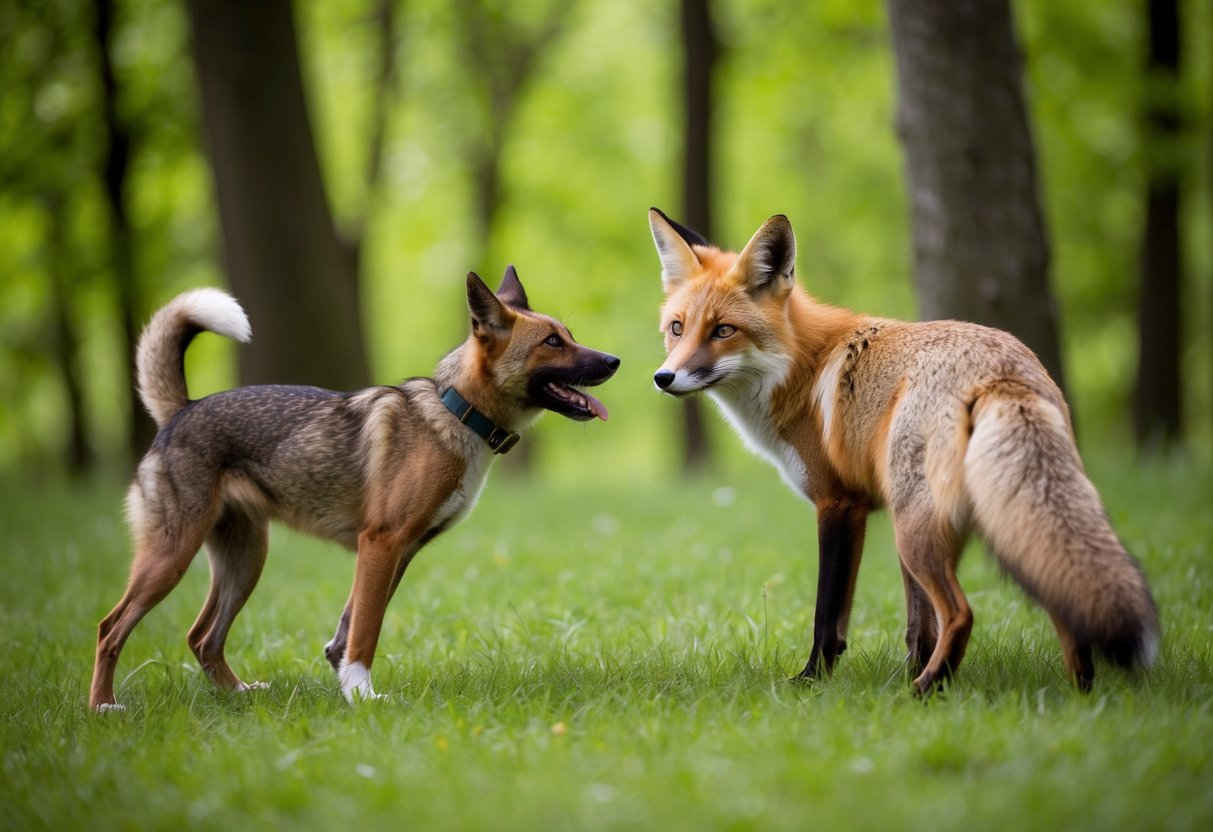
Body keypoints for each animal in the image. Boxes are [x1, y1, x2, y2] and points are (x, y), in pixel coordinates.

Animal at [90, 267, 619, 710]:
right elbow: (365, 631)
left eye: (569, 335)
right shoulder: (381, 544)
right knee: (110, 628)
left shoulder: (400, 552)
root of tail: (181, 410)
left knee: (202, 638)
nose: (614, 360)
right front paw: (363, 697)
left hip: (244, 560)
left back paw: (239, 695)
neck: (455, 414)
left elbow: (347, 633)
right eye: (552, 341)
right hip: (172, 555)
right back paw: (103, 707)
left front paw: (347, 686)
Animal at [649, 207, 1158, 693]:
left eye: (723, 331)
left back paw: (923, 691)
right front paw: (905, 672)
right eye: (677, 328)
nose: (663, 378)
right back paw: (1078, 694)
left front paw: (811, 683)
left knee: (961, 613)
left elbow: (827, 616)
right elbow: (918, 626)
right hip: (964, 521)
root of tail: (1003, 370)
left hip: (915, 527)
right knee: (1058, 605)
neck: (799, 369)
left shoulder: (839, 504)